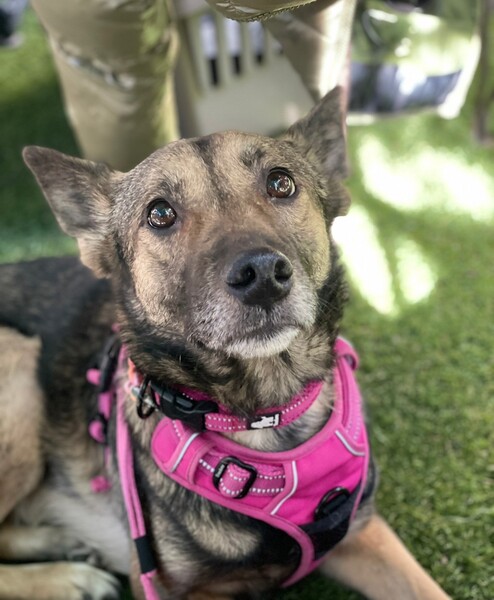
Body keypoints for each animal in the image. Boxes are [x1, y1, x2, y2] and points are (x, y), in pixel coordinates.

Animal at [0, 88, 451, 600]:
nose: (262, 275)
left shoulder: (364, 532)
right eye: (160, 213)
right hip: (20, 374)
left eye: (281, 183)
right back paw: (69, 576)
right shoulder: (176, 590)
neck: (264, 418)